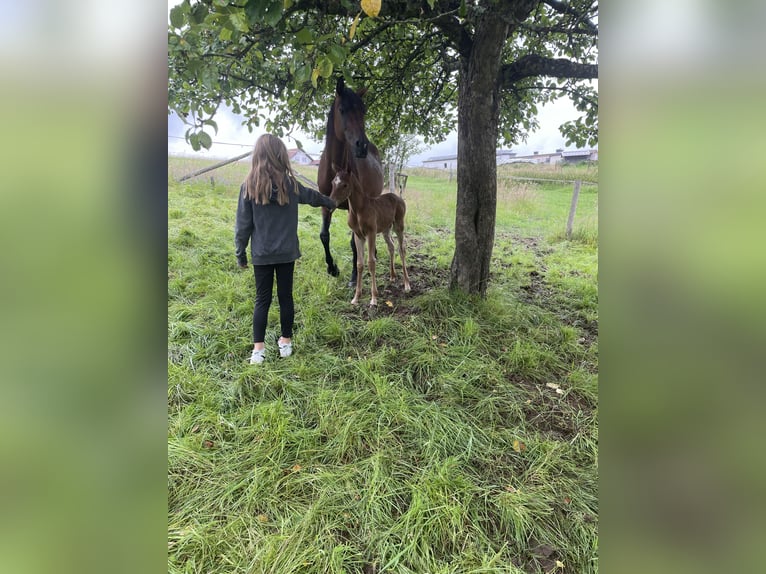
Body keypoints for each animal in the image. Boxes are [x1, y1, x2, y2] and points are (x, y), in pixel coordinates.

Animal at [316, 76, 382, 284]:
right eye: (342, 109)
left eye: (363, 111)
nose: (362, 146)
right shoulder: (325, 202)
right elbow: (324, 235)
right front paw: (332, 268)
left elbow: (354, 242)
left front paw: (354, 275)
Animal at [332, 166, 414, 308]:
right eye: (332, 182)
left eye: (345, 185)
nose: (331, 201)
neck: (359, 210)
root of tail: (398, 197)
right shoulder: (358, 236)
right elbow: (359, 263)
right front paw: (356, 298)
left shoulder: (371, 233)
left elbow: (371, 262)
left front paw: (374, 298)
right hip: (386, 229)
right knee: (391, 246)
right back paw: (392, 276)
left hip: (399, 225)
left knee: (402, 249)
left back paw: (407, 285)